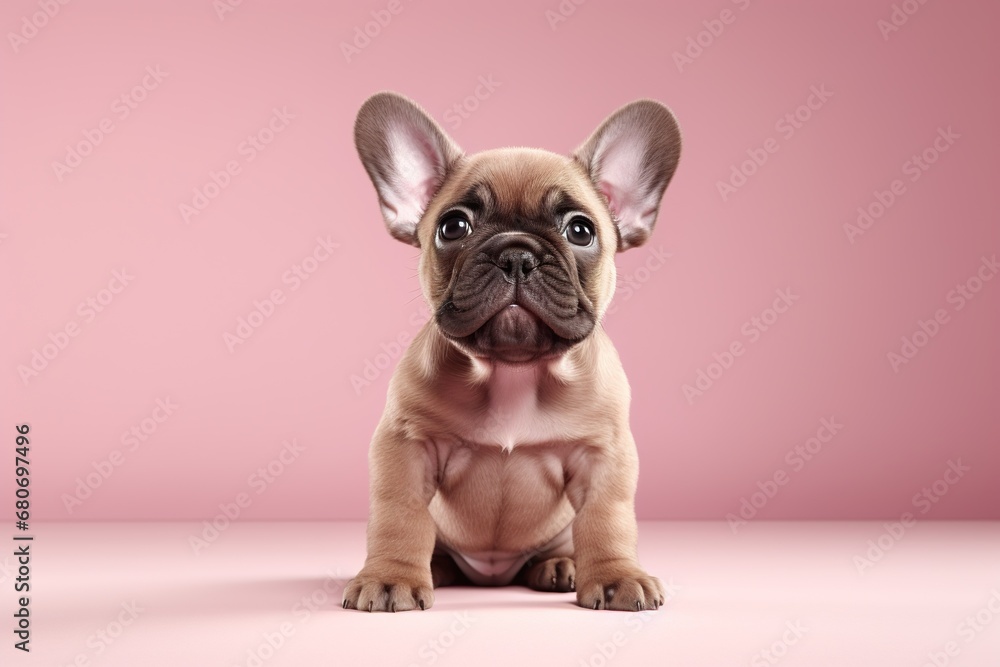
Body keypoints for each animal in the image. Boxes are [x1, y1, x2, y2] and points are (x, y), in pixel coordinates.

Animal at [342, 91, 680, 612]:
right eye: (453, 226)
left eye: (581, 231)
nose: (517, 254)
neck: (513, 371)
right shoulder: (405, 445)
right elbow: (401, 514)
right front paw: (390, 577)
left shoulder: (605, 454)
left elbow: (607, 517)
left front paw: (616, 577)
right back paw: (437, 569)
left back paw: (559, 566)